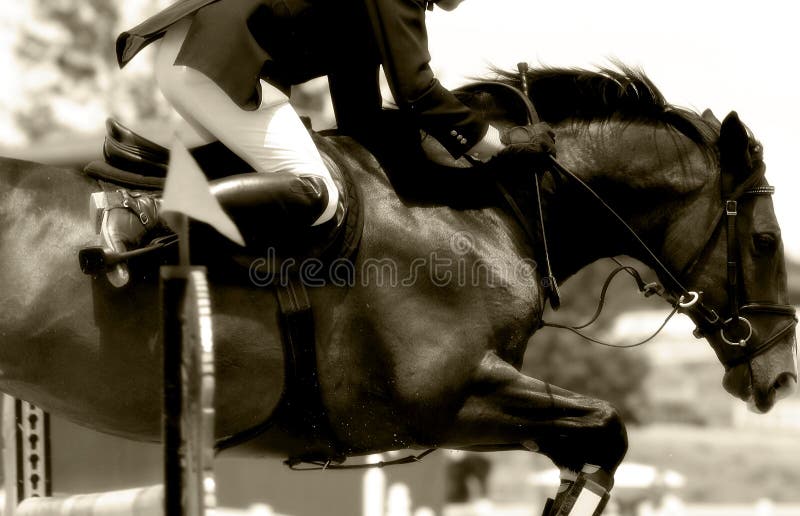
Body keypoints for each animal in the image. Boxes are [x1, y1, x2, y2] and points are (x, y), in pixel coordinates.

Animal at [0, 65, 792, 500]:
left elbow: (593, 441)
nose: (780, 378)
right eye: (764, 241)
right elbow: (607, 428)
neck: (488, 207)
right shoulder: (444, 400)